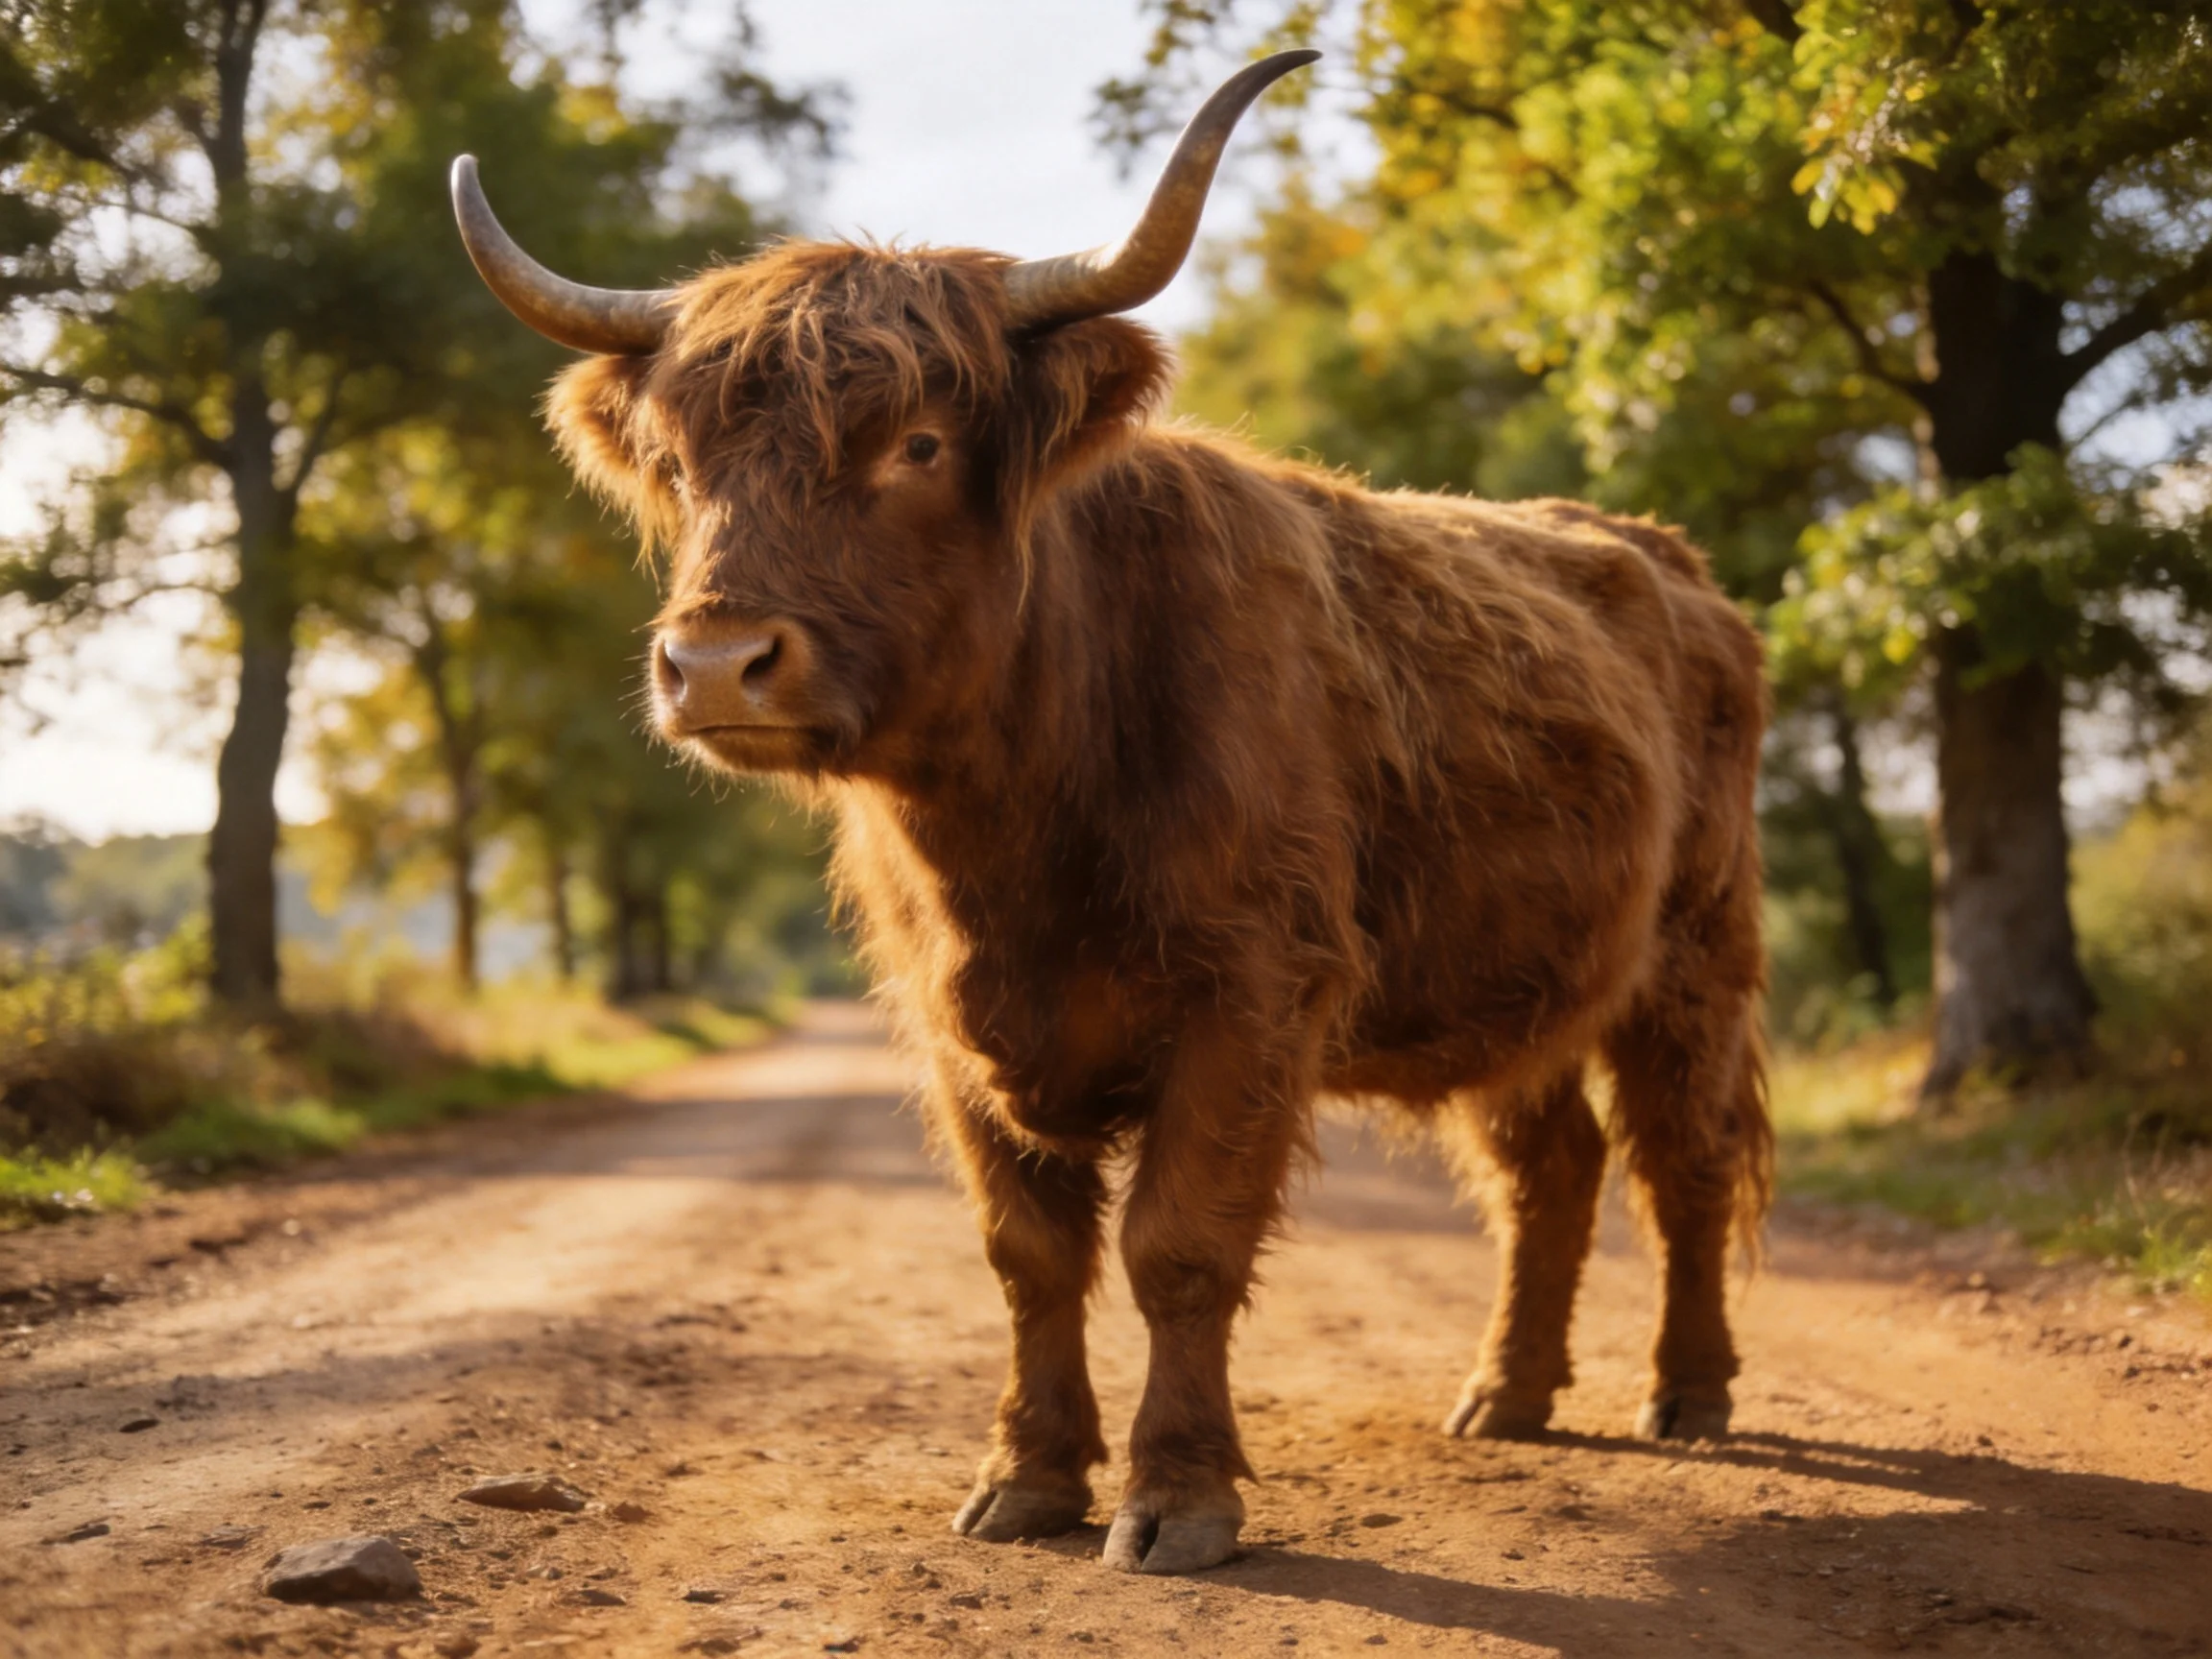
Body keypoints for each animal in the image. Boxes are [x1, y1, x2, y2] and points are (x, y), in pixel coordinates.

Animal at [451, 50, 1771, 1576]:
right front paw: (1026, 1479)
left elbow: (1177, 1247)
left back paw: (1690, 1393)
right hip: (1525, 979)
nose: (716, 663)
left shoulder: (1249, 993)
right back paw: (1506, 1394)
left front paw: (1175, 1498)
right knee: (1548, 1169)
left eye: (918, 444)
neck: (1015, 827)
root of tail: (1662, 558)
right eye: (680, 465)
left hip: (1693, 957)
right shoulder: (955, 1023)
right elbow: (1030, 1257)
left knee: (1683, 1155)